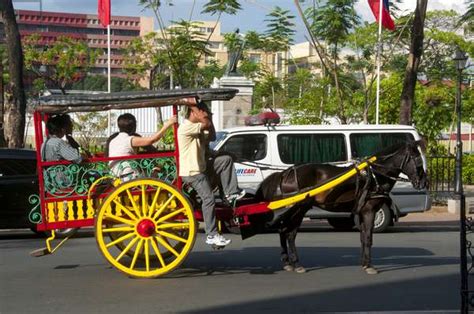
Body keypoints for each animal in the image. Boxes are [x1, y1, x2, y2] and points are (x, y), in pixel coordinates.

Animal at [256, 141, 430, 274]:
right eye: (417, 159)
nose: (424, 182)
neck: (375, 174)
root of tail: (286, 172)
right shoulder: (369, 210)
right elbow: (368, 238)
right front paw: (369, 266)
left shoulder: (362, 212)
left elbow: (363, 237)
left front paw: (364, 263)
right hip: (299, 209)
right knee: (290, 234)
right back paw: (297, 264)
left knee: (283, 231)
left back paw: (287, 262)